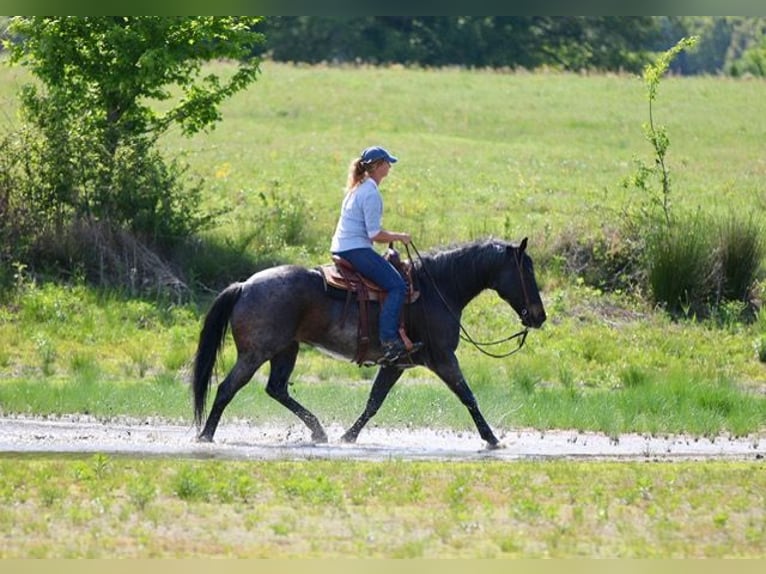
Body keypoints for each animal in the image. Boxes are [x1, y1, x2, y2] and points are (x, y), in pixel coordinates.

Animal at [192, 237, 546, 449]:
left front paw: (348, 437)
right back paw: (206, 436)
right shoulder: (443, 358)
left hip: (285, 350)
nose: (539, 316)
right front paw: (492, 439)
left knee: (276, 388)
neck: (437, 289)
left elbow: (374, 401)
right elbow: (468, 396)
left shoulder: (397, 363)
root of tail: (244, 285)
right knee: (227, 388)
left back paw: (319, 432)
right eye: (526, 271)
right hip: (255, 353)